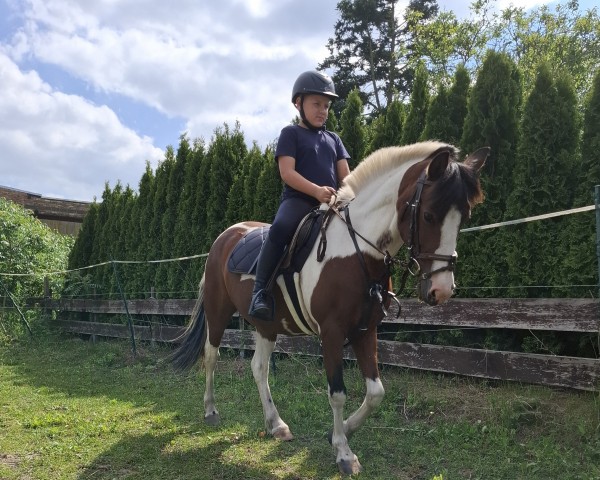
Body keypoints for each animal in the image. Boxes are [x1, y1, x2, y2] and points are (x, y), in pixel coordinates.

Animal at [169, 141, 488, 474]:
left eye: (464, 217)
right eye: (428, 215)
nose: (442, 290)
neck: (355, 252)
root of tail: (225, 236)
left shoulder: (366, 330)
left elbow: (376, 392)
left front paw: (342, 431)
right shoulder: (332, 333)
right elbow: (337, 393)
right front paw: (344, 453)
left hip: (267, 326)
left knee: (259, 368)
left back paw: (276, 424)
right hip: (217, 312)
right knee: (211, 356)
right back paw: (210, 411)